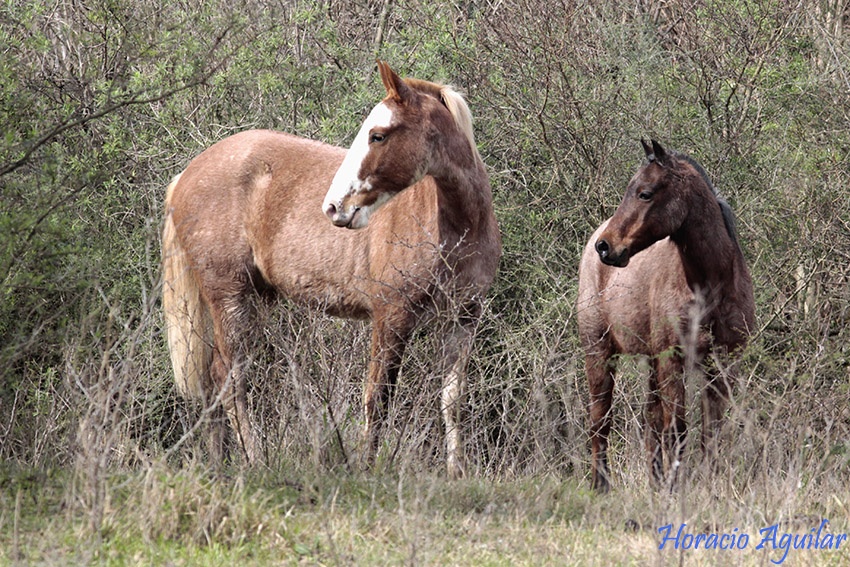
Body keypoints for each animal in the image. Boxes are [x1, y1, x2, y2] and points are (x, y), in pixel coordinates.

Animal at [162, 61, 500, 480]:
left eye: (378, 135)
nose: (334, 207)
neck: (457, 226)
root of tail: (186, 175)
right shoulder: (392, 316)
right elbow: (378, 397)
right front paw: (367, 468)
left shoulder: (464, 318)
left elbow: (452, 399)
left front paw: (457, 472)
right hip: (230, 298)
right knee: (229, 379)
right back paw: (254, 460)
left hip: (248, 301)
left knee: (214, 382)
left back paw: (220, 463)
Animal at [576, 139, 756, 492]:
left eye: (645, 193)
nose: (606, 247)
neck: (711, 285)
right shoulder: (672, 359)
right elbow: (678, 429)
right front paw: (675, 488)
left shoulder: (721, 364)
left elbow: (710, 432)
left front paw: (707, 486)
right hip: (599, 353)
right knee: (600, 420)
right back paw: (600, 484)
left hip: (649, 362)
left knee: (650, 423)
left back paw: (654, 480)